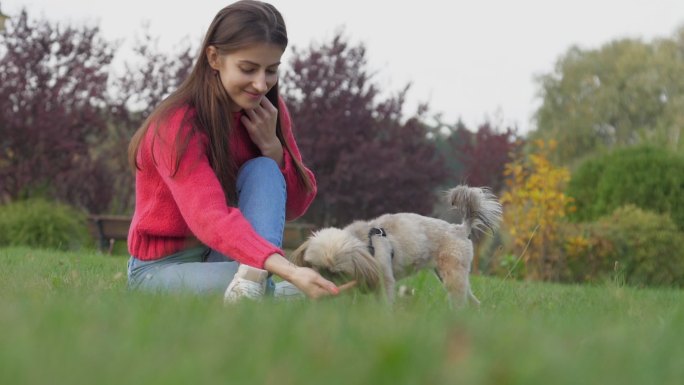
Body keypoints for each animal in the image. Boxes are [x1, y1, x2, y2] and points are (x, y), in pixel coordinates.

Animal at [288, 184, 502, 304]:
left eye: (338, 273)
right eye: (316, 268)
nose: (327, 281)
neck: (366, 243)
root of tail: (460, 229)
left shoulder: (384, 279)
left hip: (452, 273)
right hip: (448, 275)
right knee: (471, 300)